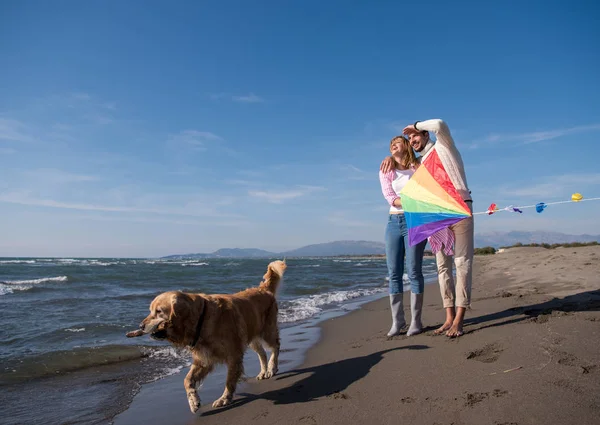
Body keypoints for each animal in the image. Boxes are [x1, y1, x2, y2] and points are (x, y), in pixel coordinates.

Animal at [128, 258, 286, 410]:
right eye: (150, 310)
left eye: (159, 311)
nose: (140, 326)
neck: (201, 319)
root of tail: (263, 289)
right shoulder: (204, 359)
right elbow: (187, 380)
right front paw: (193, 401)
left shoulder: (233, 355)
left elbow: (229, 381)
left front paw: (224, 399)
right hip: (252, 336)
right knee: (262, 353)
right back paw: (263, 372)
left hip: (267, 331)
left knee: (276, 346)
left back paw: (272, 368)